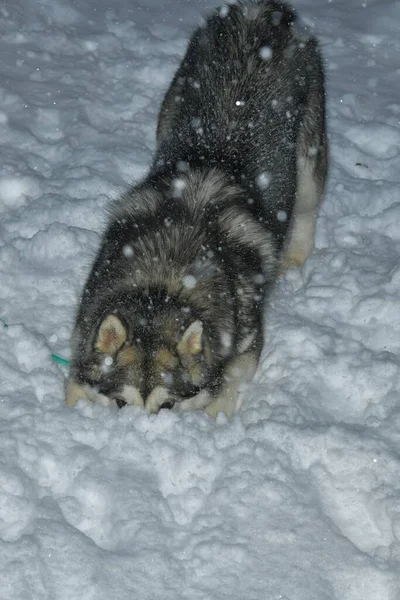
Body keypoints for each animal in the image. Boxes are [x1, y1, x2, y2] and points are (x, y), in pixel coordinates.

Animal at [66, 0, 328, 418]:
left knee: (306, 212)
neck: (165, 281)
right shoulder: (84, 328)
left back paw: (296, 257)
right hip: (170, 110)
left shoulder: (246, 343)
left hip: (308, 164)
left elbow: (225, 391)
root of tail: (260, 11)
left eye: (168, 407)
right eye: (121, 404)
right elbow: (75, 382)